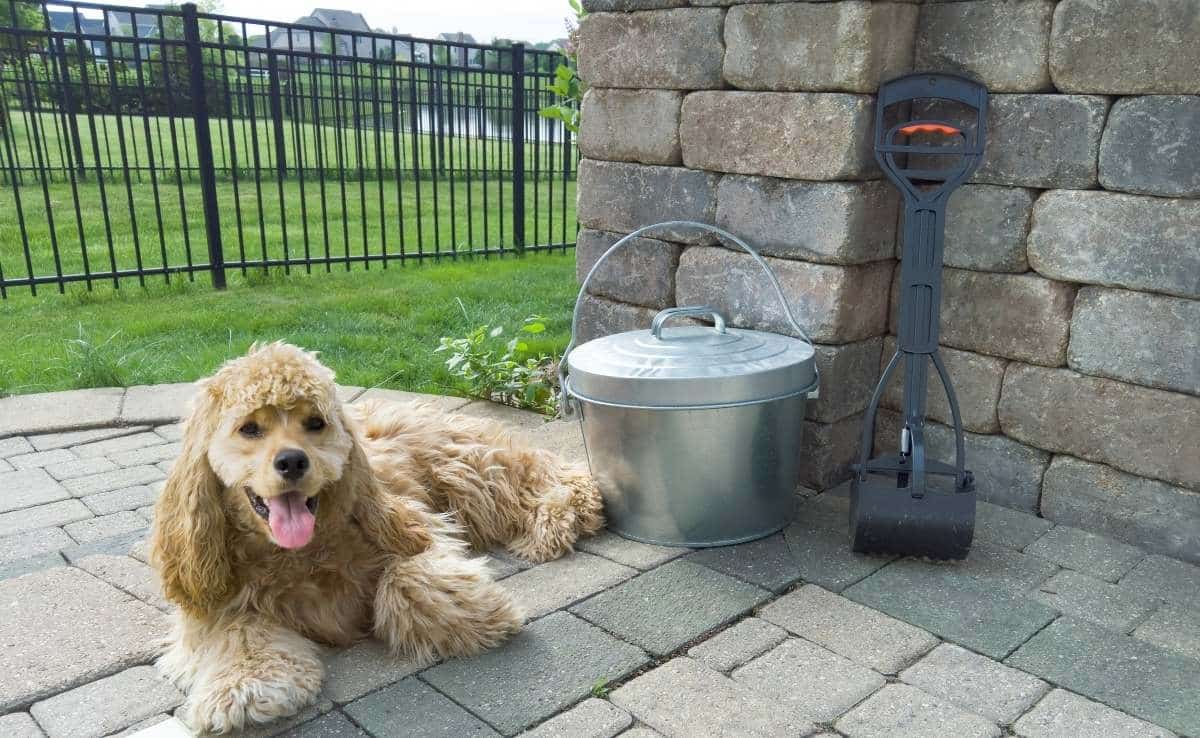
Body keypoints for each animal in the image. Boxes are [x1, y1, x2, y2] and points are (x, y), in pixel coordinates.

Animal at [150, 343, 600, 734]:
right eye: (249, 428)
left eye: (315, 423)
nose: (293, 461)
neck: (299, 555)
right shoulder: (211, 597)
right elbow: (237, 632)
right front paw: (246, 687)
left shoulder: (420, 526)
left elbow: (406, 578)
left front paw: (478, 612)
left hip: (471, 473)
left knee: (558, 475)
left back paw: (556, 517)